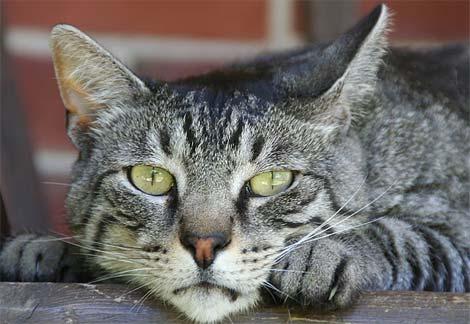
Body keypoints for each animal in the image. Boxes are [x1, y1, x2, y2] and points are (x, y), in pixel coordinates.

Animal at [0, 3, 470, 322]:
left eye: (273, 181)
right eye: (151, 178)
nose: (205, 245)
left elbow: (401, 235)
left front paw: (323, 253)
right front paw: (43, 249)